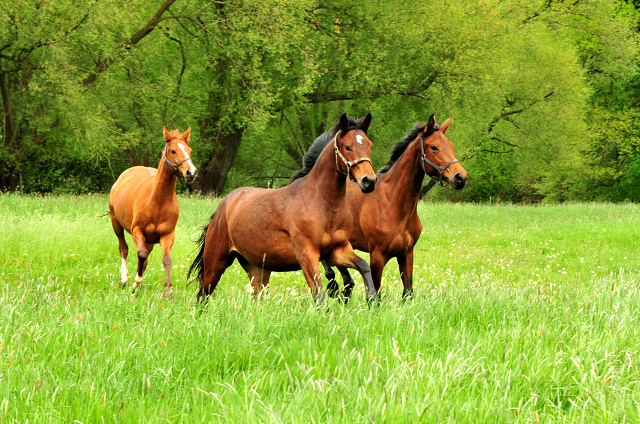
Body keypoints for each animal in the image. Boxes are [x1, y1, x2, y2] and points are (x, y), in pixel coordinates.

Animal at [109, 127, 196, 296]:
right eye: (173, 151)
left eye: (189, 150)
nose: (191, 172)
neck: (158, 202)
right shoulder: (137, 231)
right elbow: (140, 254)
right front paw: (135, 283)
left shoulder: (167, 235)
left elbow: (166, 260)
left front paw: (167, 292)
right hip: (115, 222)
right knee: (124, 248)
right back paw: (124, 279)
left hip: (149, 240)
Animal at [190, 114, 380, 304]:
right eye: (347, 146)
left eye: (370, 145)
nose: (369, 181)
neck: (324, 204)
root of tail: (223, 206)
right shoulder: (307, 255)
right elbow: (320, 296)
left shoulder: (338, 250)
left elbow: (363, 265)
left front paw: (372, 300)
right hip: (216, 264)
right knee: (202, 296)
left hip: (257, 269)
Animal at [322, 115, 468, 298]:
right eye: (434, 147)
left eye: (451, 145)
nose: (461, 177)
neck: (392, 203)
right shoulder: (377, 257)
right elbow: (375, 293)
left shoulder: (406, 253)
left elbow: (408, 292)